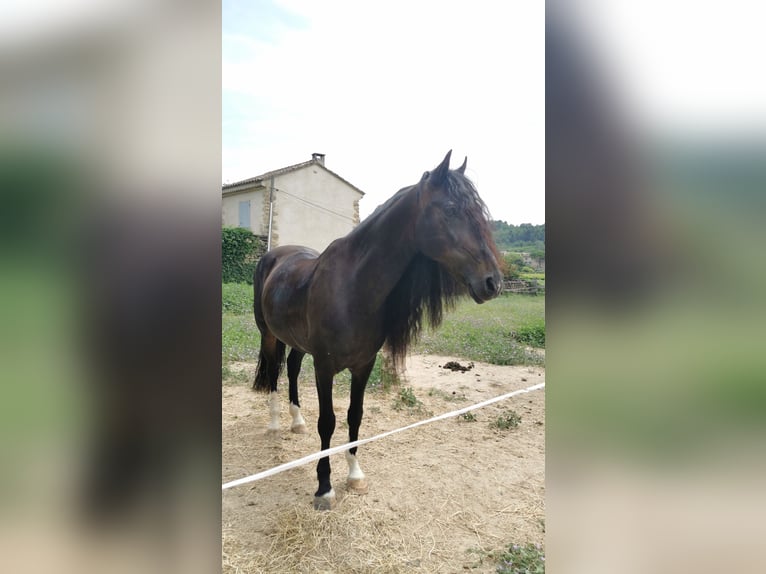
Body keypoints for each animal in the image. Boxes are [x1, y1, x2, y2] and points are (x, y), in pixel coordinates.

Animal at [252, 151, 504, 510]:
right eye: (451, 209)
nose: (493, 282)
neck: (352, 287)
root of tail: (274, 256)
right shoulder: (324, 366)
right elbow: (328, 422)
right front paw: (324, 487)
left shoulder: (363, 365)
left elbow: (354, 416)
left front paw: (355, 475)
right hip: (269, 335)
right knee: (274, 373)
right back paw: (275, 425)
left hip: (297, 342)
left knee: (292, 368)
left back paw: (296, 422)